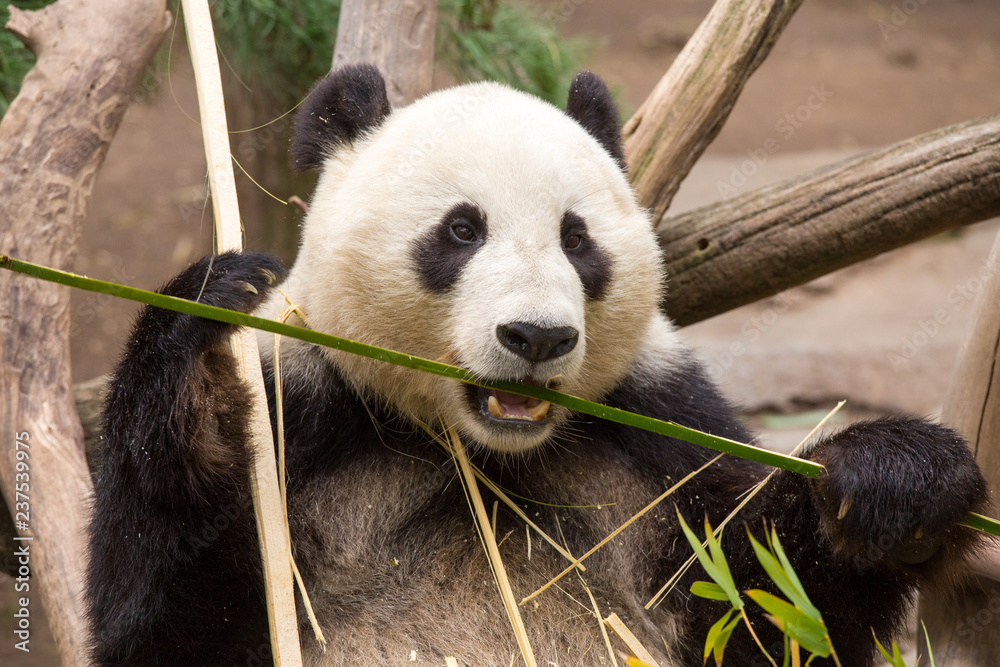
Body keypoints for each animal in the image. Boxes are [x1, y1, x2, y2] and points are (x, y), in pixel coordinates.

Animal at [85, 64, 989, 666]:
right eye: (461, 229)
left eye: (577, 238)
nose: (537, 337)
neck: (483, 456)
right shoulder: (308, 418)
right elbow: (164, 617)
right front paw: (206, 333)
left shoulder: (658, 431)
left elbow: (766, 608)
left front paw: (891, 481)